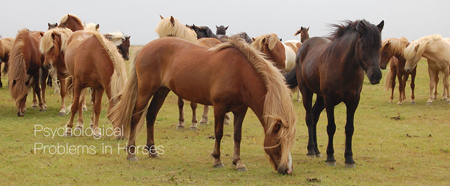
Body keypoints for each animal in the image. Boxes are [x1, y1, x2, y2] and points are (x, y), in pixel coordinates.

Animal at [108, 36, 298, 174]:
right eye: (278, 141)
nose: (286, 170)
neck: (240, 73)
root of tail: (144, 48)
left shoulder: (240, 111)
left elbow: (237, 136)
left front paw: (238, 162)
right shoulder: (219, 107)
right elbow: (219, 133)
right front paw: (217, 160)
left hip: (161, 91)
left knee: (151, 116)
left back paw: (153, 151)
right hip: (146, 91)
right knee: (136, 116)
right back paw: (131, 153)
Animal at [284, 19, 384, 168]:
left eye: (379, 47)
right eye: (363, 46)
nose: (376, 75)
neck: (343, 67)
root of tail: (303, 47)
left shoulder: (353, 101)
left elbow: (349, 128)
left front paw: (349, 159)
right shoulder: (330, 100)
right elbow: (331, 127)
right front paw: (330, 157)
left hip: (320, 98)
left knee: (315, 116)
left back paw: (317, 150)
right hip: (307, 91)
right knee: (310, 118)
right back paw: (311, 150)